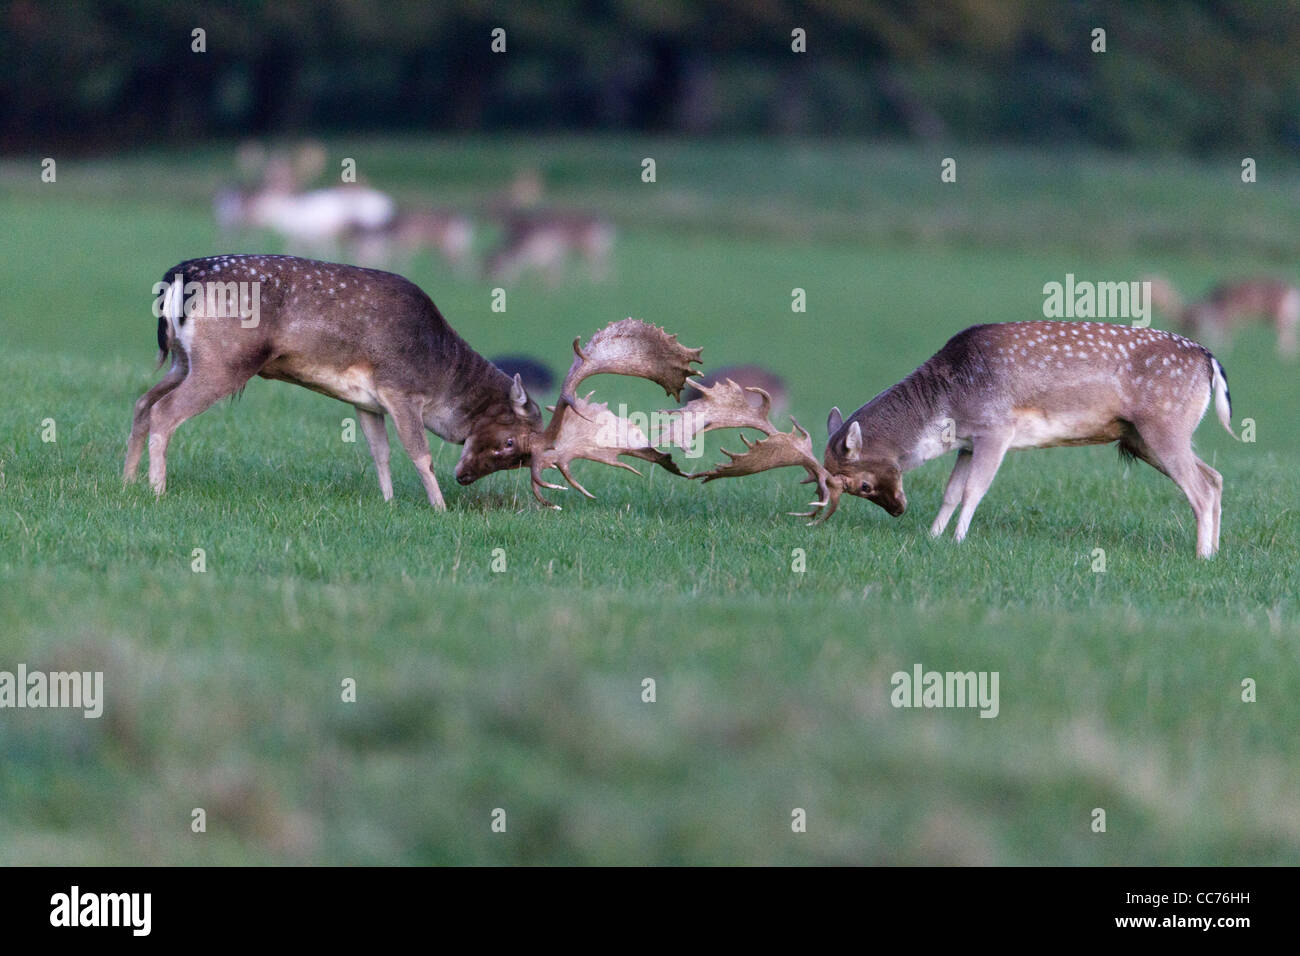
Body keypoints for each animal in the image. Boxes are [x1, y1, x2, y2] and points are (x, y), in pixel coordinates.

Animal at [124, 254, 702, 509]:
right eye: (510, 445)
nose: (464, 479)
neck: (439, 370)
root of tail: (178, 277)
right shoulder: (400, 390)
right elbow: (418, 451)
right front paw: (439, 507)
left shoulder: (365, 401)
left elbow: (378, 451)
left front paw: (386, 502)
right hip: (222, 362)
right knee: (164, 413)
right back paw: (157, 489)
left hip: (182, 360)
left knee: (140, 403)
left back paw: (127, 481)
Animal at [681, 323, 1237, 556]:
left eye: (860, 486)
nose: (898, 509)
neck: (947, 403)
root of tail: (1210, 360)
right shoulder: (969, 441)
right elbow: (951, 491)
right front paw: (933, 536)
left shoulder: (997, 428)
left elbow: (974, 491)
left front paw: (958, 539)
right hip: (1142, 438)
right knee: (1215, 476)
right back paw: (1212, 551)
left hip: (1163, 426)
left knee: (1201, 486)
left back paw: (1202, 555)